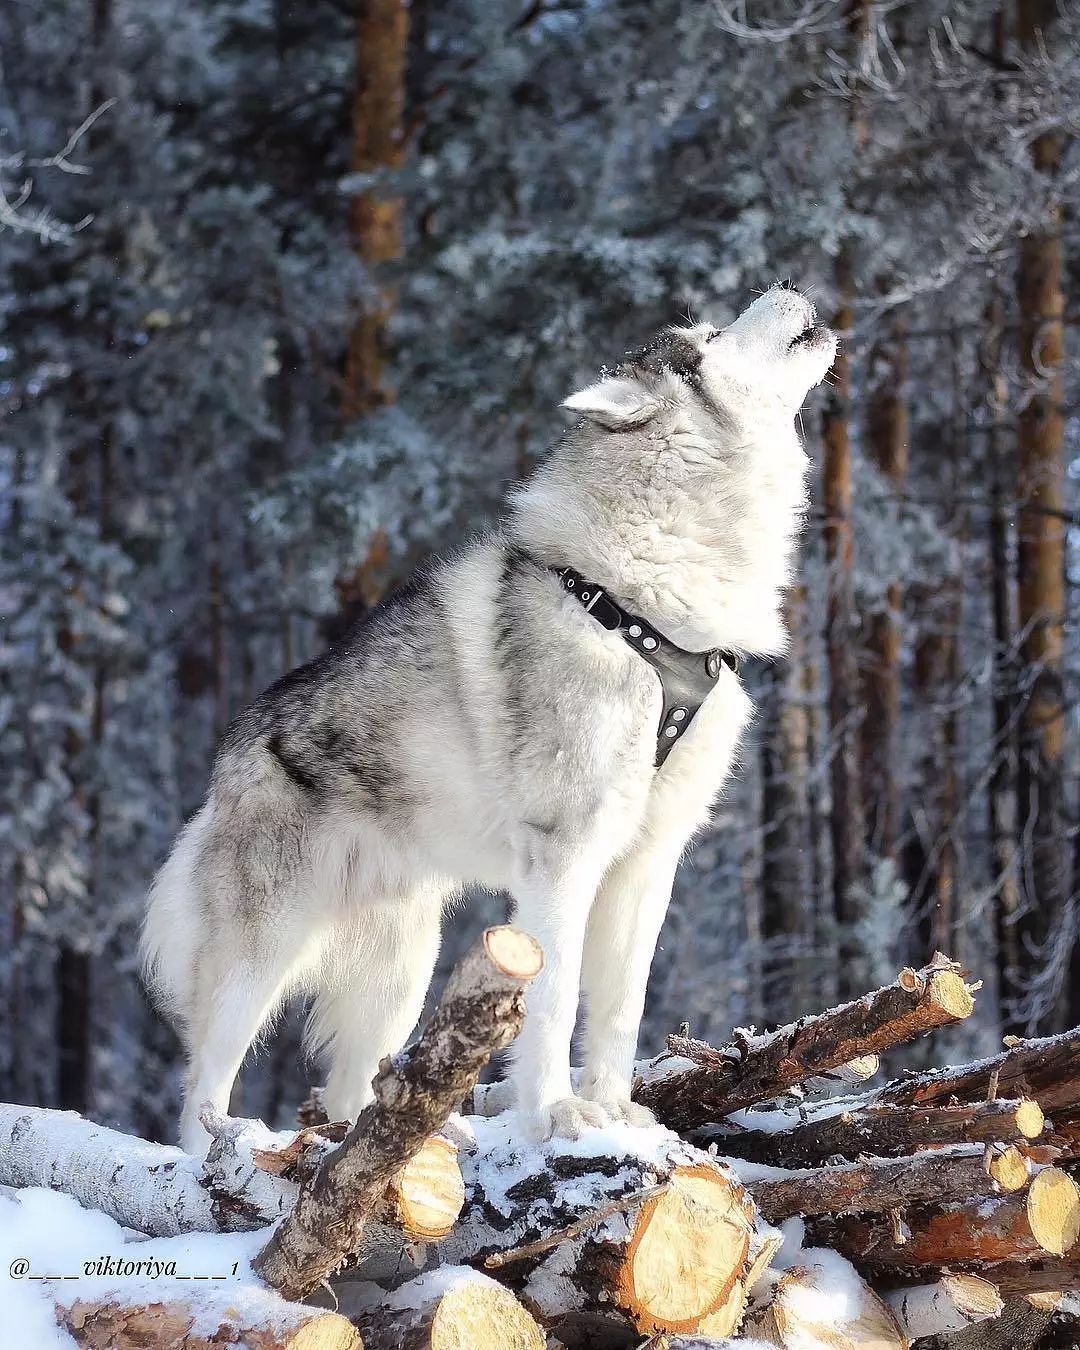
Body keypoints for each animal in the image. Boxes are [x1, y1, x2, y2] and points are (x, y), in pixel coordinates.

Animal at [141, 282, 837, 1150]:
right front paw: (555, 1115)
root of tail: (228, 763)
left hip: (402, 973)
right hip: (263, 961)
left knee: (351, 1095)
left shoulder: (647, 865)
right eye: (711, 337)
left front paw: (618, 1115)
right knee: (201, 1086)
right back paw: (222, 1153)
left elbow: (620, 1011)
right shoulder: (563, 861)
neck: (645, 608)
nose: (793, 286)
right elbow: (554, 1003)